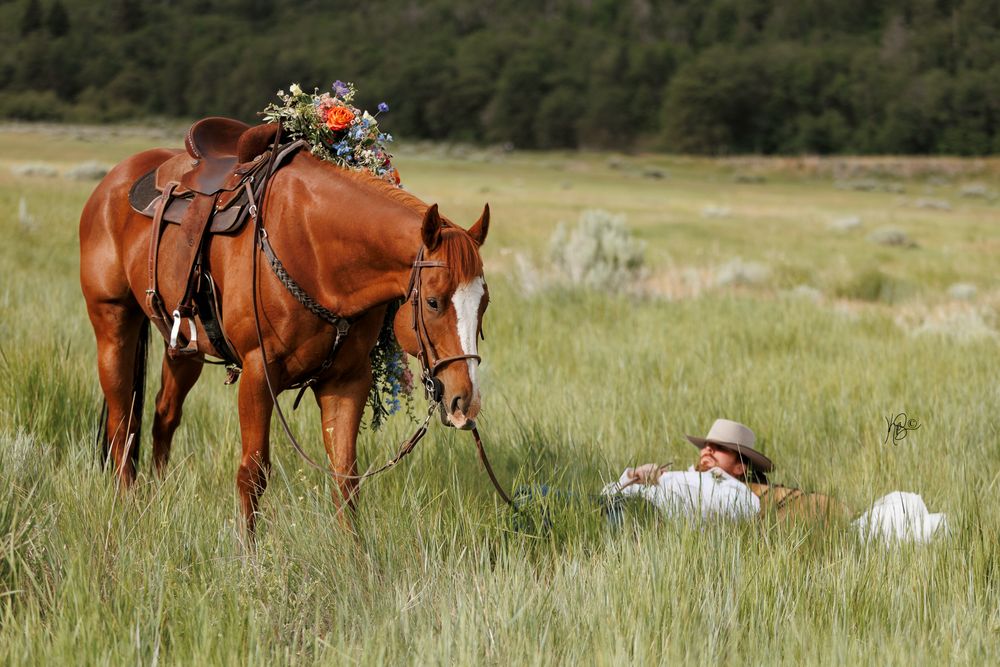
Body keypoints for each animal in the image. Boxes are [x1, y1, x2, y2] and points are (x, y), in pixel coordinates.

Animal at [79, 142, 490, 536]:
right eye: (434, 302)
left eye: (484, 302)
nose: (464, 402)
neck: (317, 254)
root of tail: (112, 181)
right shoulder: (258, 374)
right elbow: (253, 472)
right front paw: (248, 552)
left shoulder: (347, 381)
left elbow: (346, 477)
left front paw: (356, 554)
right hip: (113, 326)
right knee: (121, 422)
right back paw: (129, 507)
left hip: (182, 347)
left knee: (164, 417)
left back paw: (157, 498)